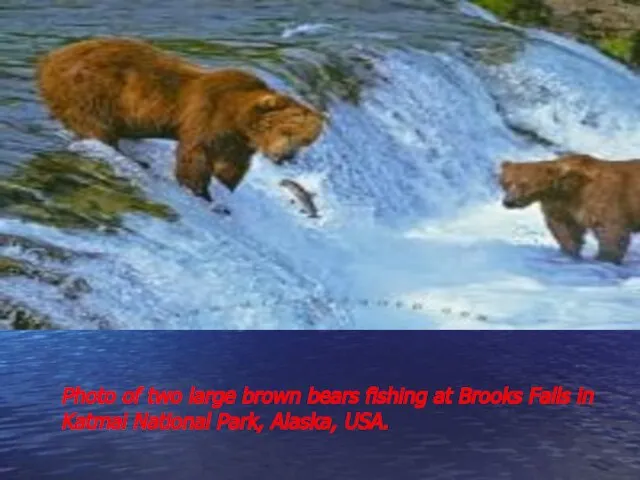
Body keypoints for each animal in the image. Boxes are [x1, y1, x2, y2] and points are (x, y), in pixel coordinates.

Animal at [35, 38, 324, 202]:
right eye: (288, 132)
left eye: (306, 141)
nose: (286, 157)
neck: (239, 118)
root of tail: (47, 59)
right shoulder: (208, 116)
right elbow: (195, 156)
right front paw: (201, 192)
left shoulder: (236, 140)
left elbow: (231, 164)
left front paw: (224, 186)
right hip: (93, 89)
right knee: (96, 125)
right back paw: (129, 158)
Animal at [500, 154, 640, 264]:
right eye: (506, 183)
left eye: (524, 184)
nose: (508, 202)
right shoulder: (561, 206)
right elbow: (565, 229)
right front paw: (570, 251)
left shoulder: (600, 199)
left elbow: (611, 230)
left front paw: (604, 258)